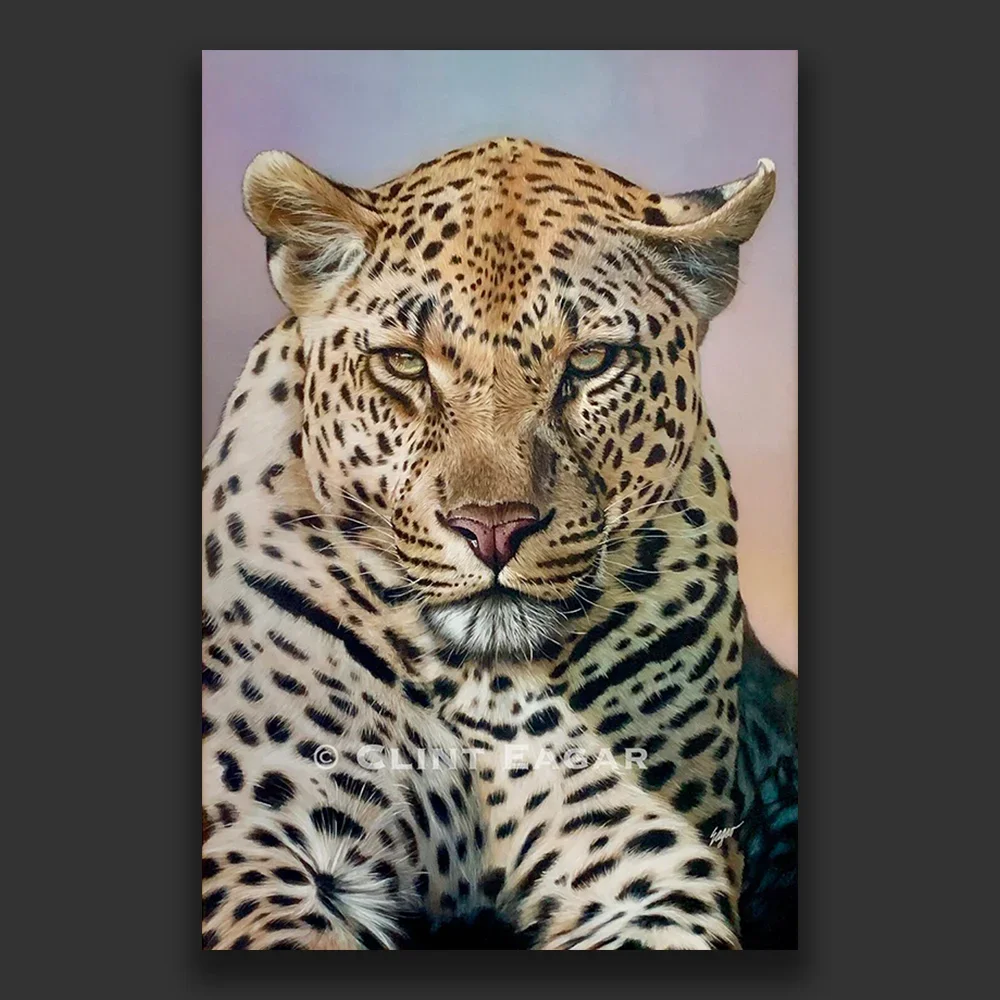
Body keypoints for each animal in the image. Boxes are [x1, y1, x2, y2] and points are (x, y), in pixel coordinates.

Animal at [201, 136, 780, 950]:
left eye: (591, 361)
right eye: (405, 363)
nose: (494, 528)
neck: (479, 682)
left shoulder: (648, 861)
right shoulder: (266, 844)